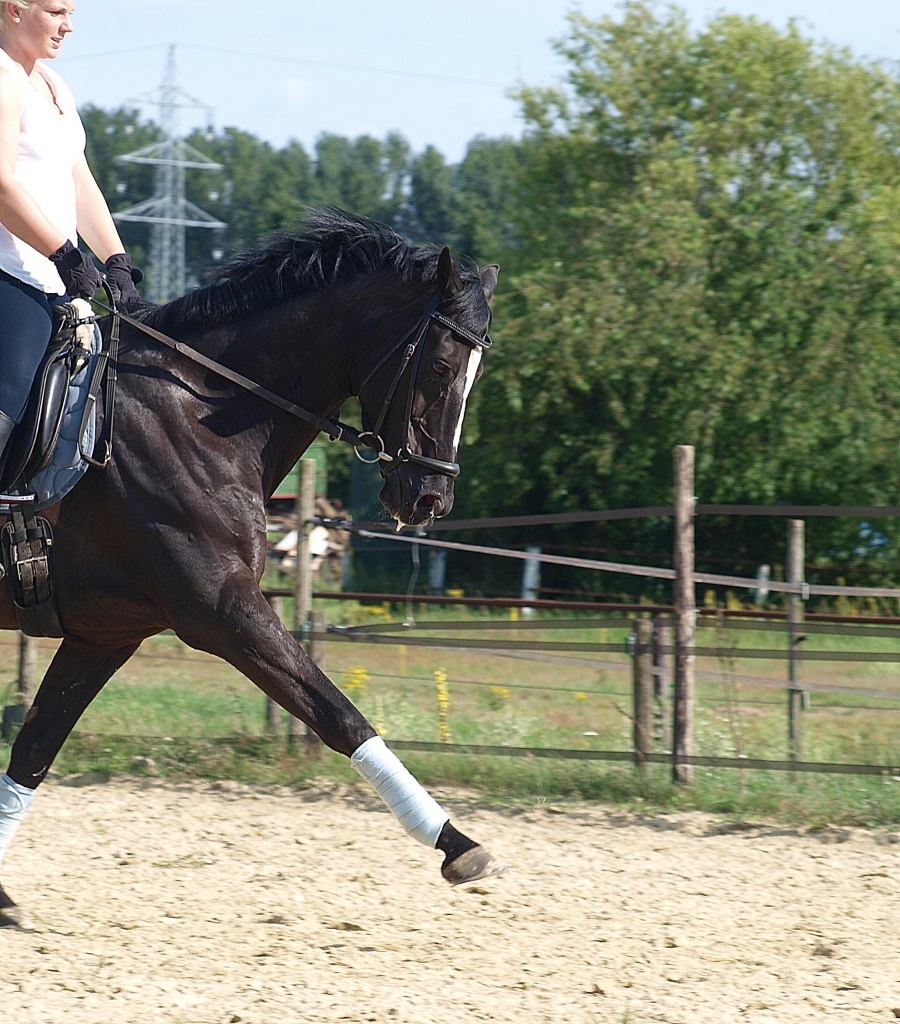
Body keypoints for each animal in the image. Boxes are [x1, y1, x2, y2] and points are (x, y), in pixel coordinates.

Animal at [0, 209, 502, 926]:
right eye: (438, 366)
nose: (430, 500)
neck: (199, 414)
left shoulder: (108, 633)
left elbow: (36, 749)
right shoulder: (223, 610)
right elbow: (340, 716)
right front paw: (456, 844)